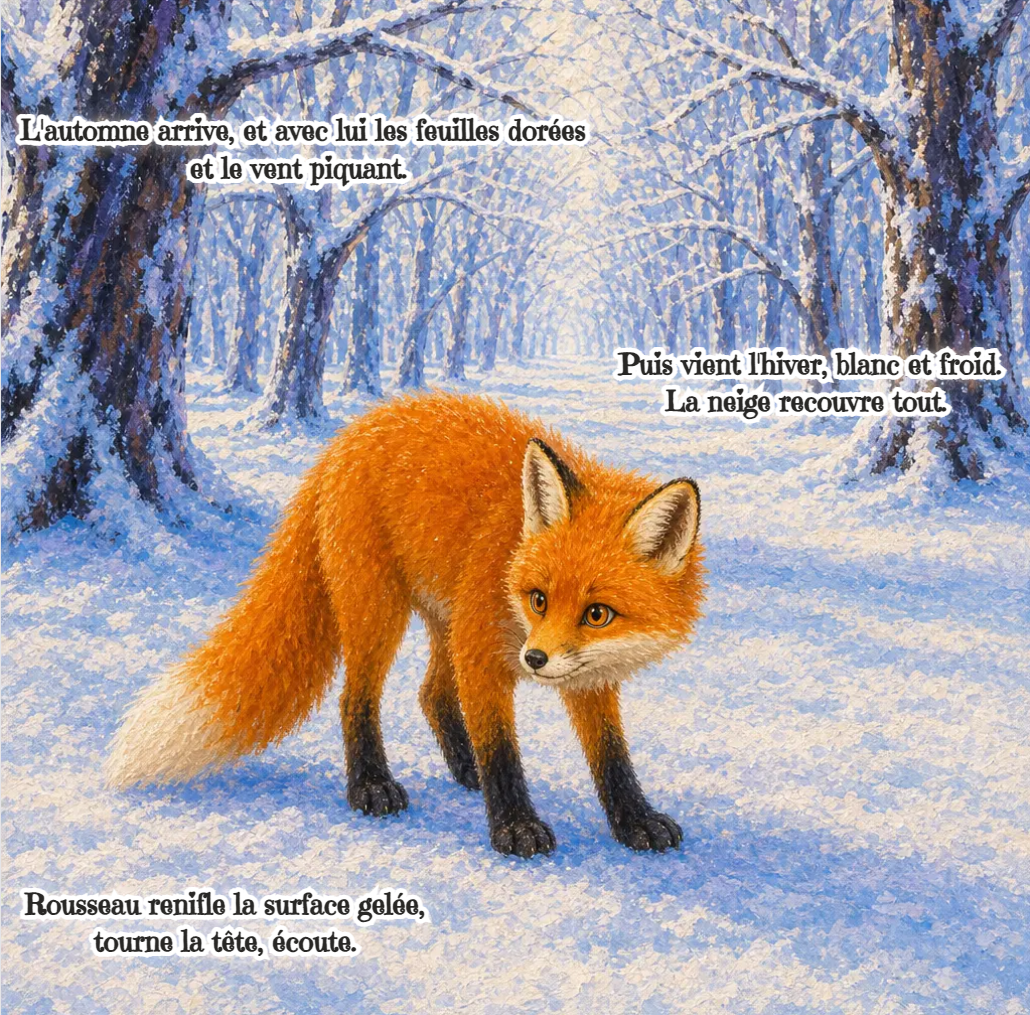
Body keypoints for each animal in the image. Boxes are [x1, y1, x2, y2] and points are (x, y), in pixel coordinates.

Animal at [106, 392, 705, 858]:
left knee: (431, 692)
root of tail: (351, 434)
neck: (510, 558)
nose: (534, 660)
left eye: (596, 613)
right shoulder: (483, 651)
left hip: (443, 618)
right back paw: (371, 785)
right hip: (380, 612)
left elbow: (611, 755)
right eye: (538, 598)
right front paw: (514, 825)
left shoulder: (585, 675)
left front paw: (634, 820)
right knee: (356, 699)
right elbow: (502, 749)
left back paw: (463, 768)